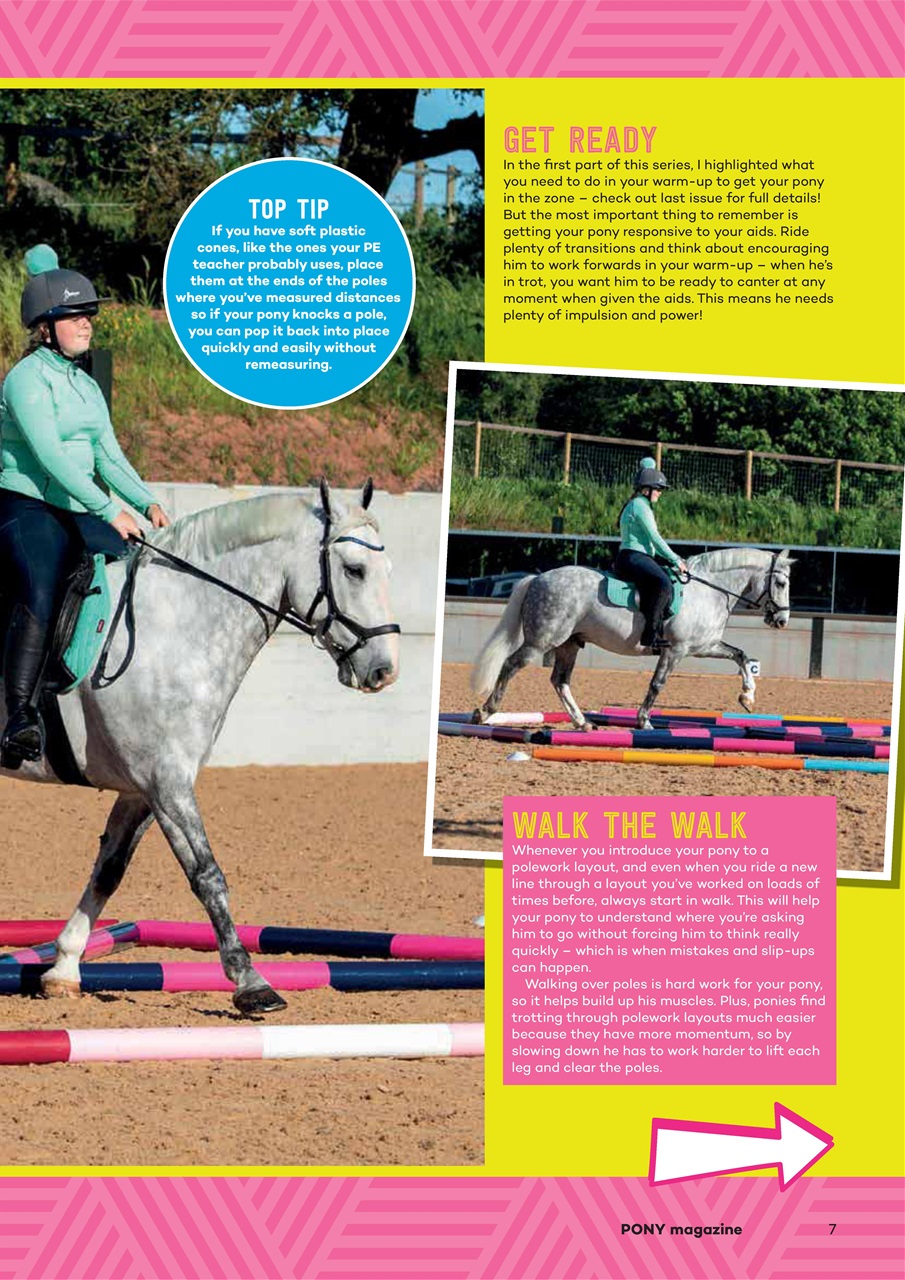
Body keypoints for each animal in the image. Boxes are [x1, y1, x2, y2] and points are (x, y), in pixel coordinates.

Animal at [0, 480, 400, 1015]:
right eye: (354, 570)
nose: (384, 670)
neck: (173, 627)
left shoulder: (143, 789)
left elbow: (110, 870)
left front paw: (64, 967)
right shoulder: (167, 783)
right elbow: (207, 875)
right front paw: (251, 982)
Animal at [471, 547, 793, 731]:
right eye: (780, 583)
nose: (781, 621)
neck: (710, 590)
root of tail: (537, 578)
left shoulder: (703, 646)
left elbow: (741, 656)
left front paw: (748, 696)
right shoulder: (675, 650)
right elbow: (657, 684)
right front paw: (644, 721)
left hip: (569, 644)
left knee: (560, 681)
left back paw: (582, 722)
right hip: (542, 642)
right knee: (511, 665)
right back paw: (485, 711)